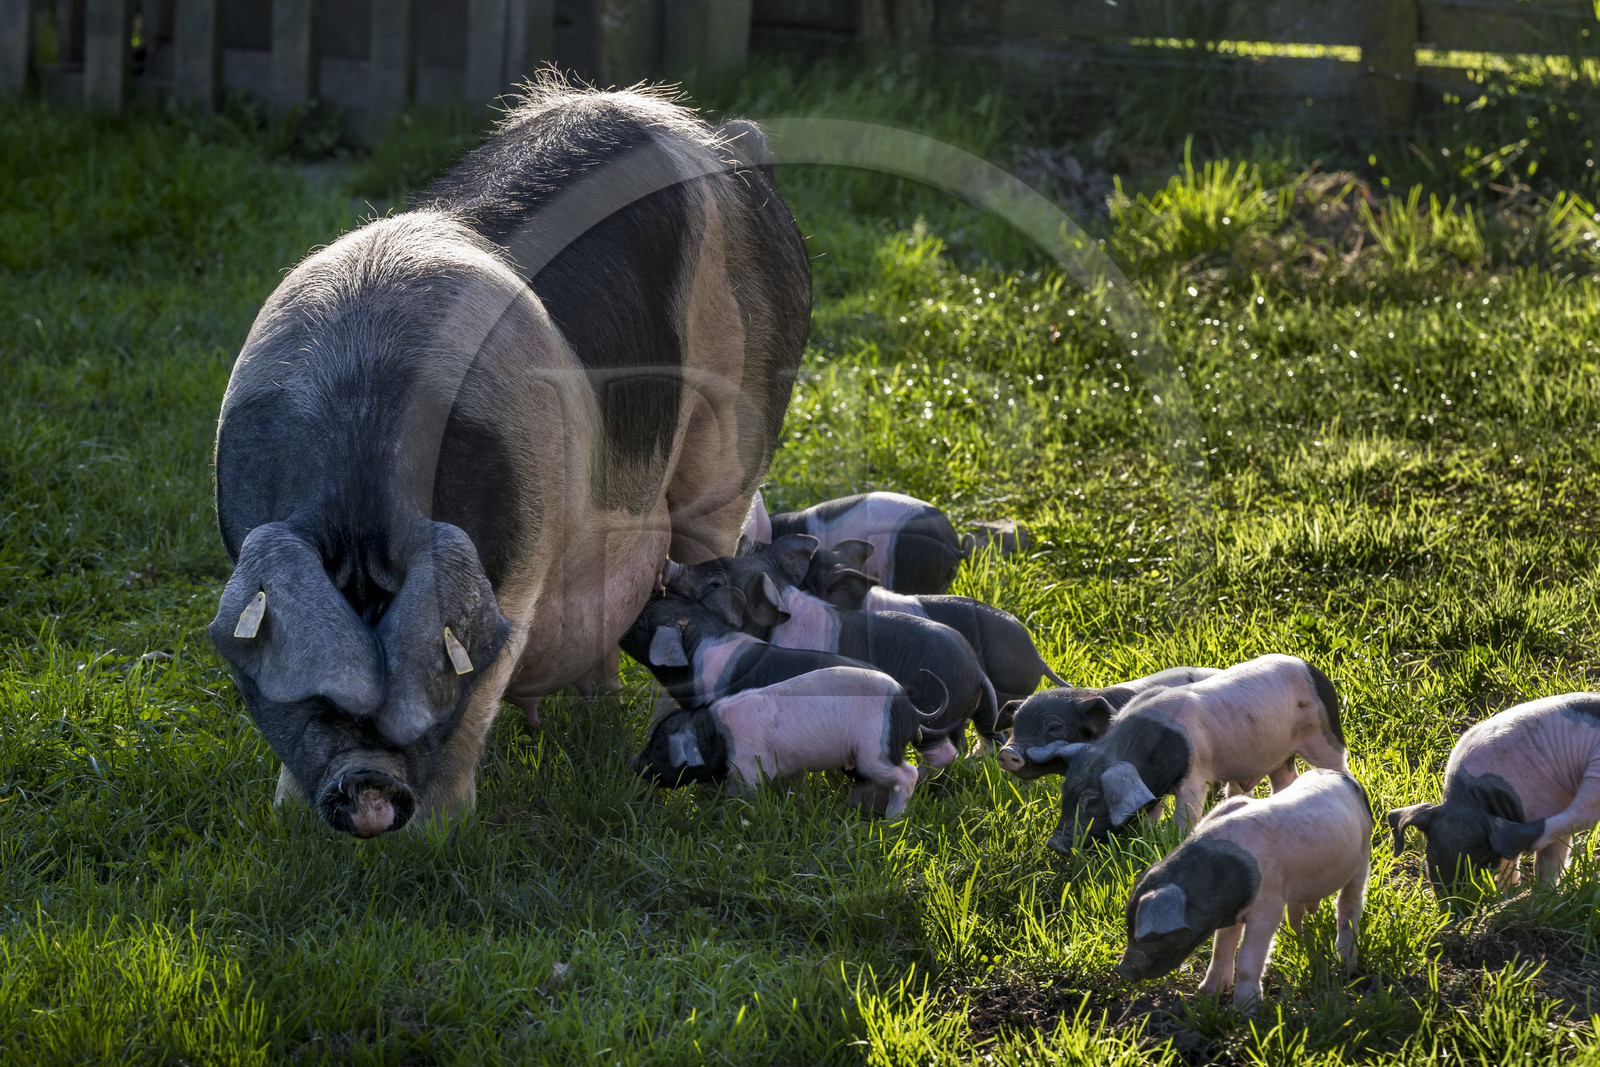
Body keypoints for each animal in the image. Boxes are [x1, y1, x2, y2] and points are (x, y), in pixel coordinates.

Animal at [209, 80, 810, 836]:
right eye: (319, 687)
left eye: (434, 672)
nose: (369, 790)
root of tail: (728, 145)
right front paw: (288, 818)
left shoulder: (517, 578)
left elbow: (484, 692)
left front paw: (440, 835)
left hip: (739, 425)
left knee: (709, 559)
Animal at [630, 665, 950, 818]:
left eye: (659, 747)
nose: (634, 762)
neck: (715, 733)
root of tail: (910, 709)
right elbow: (797, 787)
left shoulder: (749, 770)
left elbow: (743, 796)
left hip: (876, 748)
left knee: (907, 774)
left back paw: (892, 819)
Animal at [1047, 655, 1348, 852]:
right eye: (1064, 792)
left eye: (1094, 801)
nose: (1054, 843)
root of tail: (1315, 672)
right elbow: (1151, 812)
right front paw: (1148, 837)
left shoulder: (1195, 778)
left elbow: (1186, 814)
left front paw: (1176, 839)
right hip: (1279, 755)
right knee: (1285, 780)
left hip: (1324, 736)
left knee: (1338, 765)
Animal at [1117, 768, 1372, 1012]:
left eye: (1156, 936)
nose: (1123, 970)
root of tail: (1347, 779)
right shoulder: (1230, 913)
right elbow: (1221, 948)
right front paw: (1207, 994)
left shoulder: (1267, 907)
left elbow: (1248, 958)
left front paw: (1246, 1010)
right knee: (1297, 910)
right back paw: (1297, 938)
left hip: (1362, 855)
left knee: (1349, 906)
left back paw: (1345, 965)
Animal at [1386, 692, 1600, 895]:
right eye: (1430, 854)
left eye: (1483, 859)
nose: (1452, 905)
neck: (1475, 798)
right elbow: (1509, 865)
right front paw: (1506, 895)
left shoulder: (1549, 802)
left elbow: (1547, 861)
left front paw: (1538, 894)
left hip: (1594, 772)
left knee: (1582, 811)